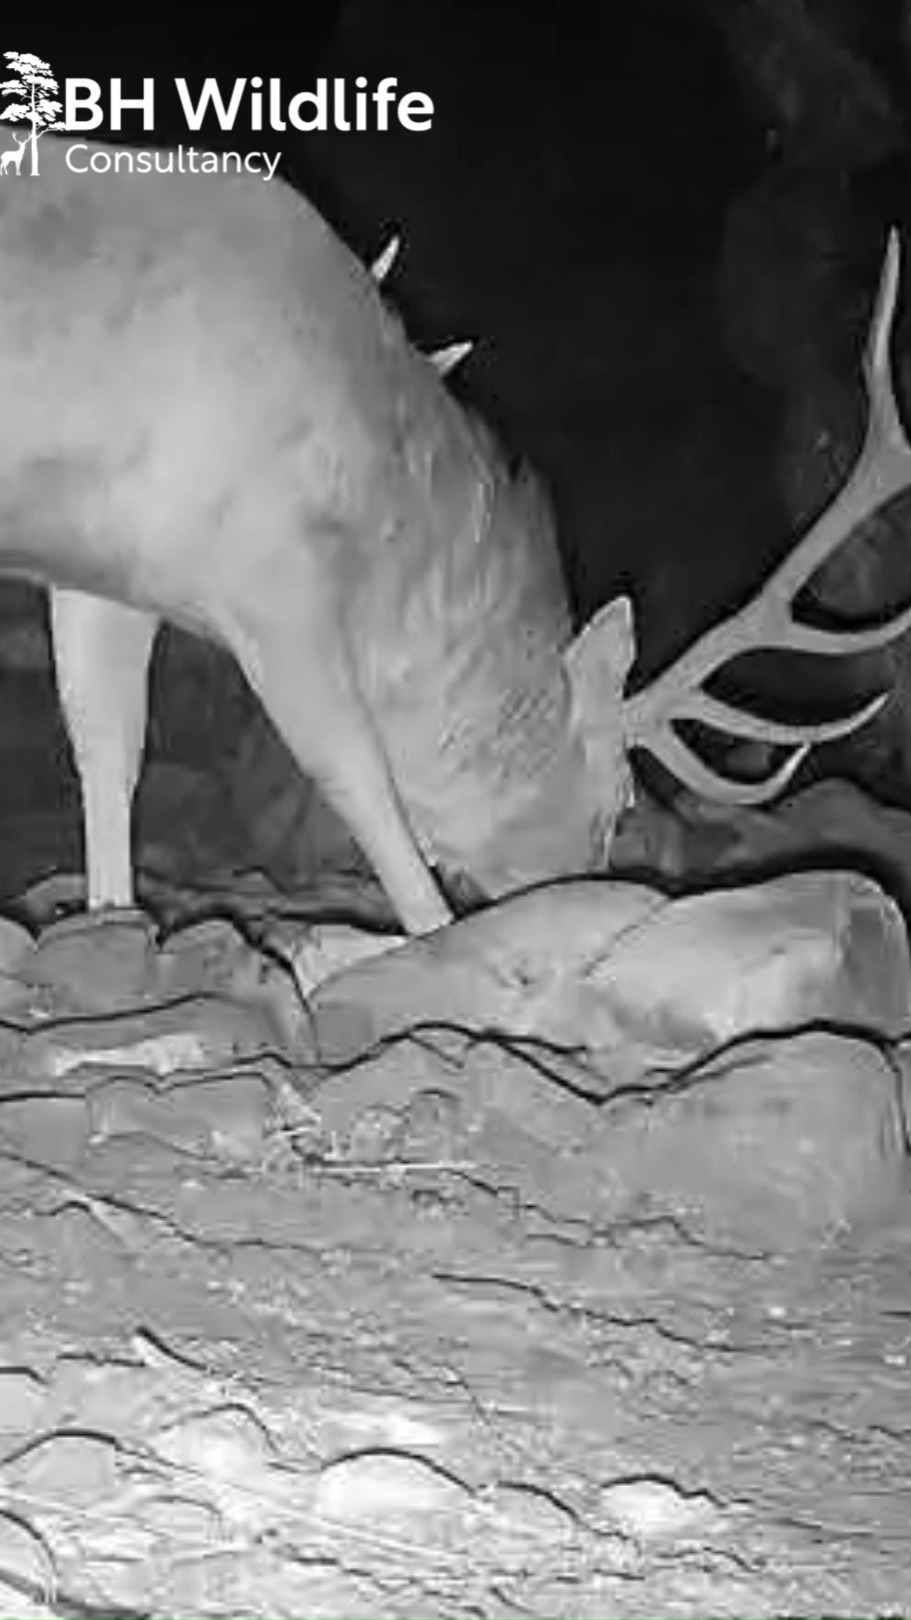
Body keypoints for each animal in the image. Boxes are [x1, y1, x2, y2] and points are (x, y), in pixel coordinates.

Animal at [0, 133, 910, 940]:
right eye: (619, 802)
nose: (598, 886)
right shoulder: (269, 570)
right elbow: (355, 773)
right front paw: (435, 932)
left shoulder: (108, 571)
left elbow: (106, 748)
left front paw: (110, 919)